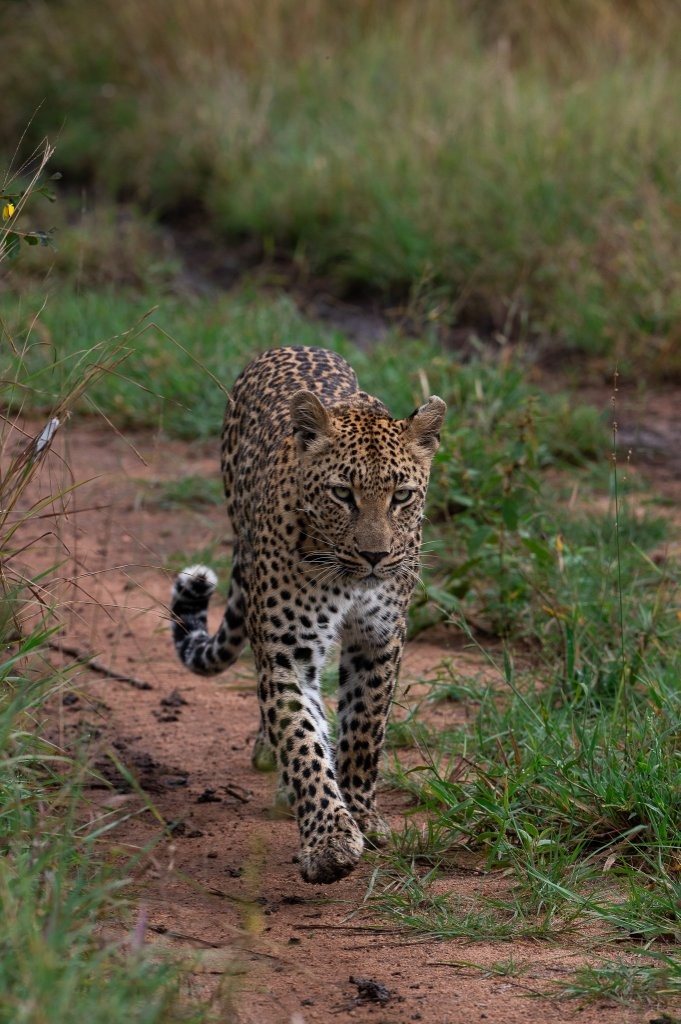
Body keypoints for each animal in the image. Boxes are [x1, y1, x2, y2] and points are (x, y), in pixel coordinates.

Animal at [170, 346, 445, 884]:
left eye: (401, 496)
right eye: (342, 494)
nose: (376, 556)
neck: (345, 580)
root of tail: (290, 346)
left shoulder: (380, 640)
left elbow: (364, 729)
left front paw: (362, 815)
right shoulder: (288, 651)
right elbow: (302, 739)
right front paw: (330, 841)